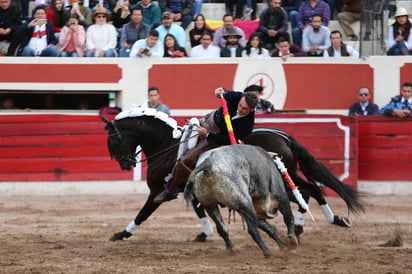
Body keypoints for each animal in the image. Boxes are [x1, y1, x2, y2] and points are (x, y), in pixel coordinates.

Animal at [100, 109, 364, 242]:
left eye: (112, 139)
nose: (125, 164)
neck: (169, 146)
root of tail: (284, 137)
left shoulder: (159, 191)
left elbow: (143, 212)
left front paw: (122, 233)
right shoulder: (189, 189)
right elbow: (199, 210)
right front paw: (205, 233)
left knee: (307, 193)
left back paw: (305, 226)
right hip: (290, 174)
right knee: (312, 190)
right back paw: (326, 221)